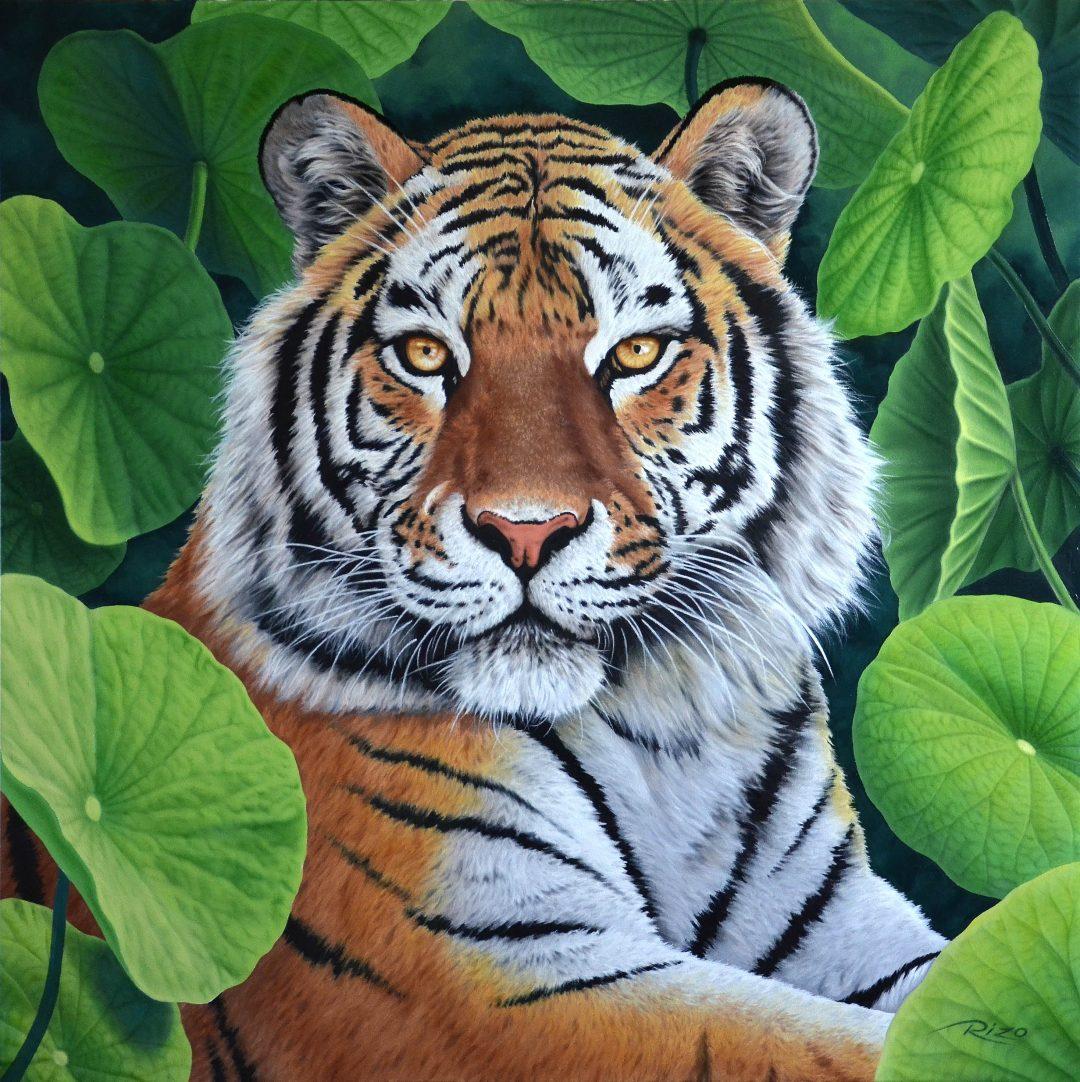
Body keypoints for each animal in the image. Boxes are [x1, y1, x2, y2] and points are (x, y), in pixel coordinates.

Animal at [2, 78, 947, 1081]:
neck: (663, 731)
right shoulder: (480, 981)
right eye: (425, 357)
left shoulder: (844, 924)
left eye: (635, 355)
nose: (525, 531)